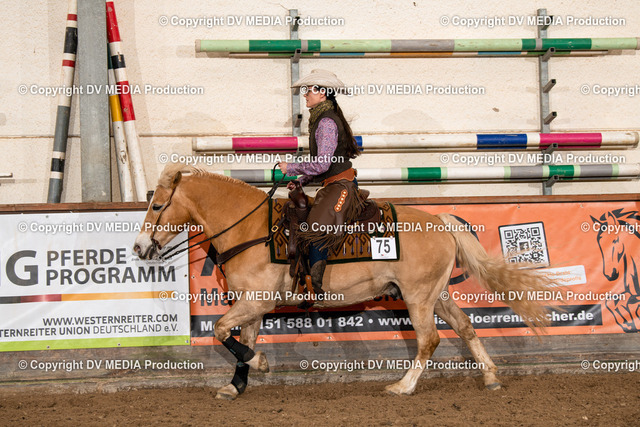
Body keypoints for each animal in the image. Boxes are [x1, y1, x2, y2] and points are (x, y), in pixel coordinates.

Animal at [134, 163, 554, 400]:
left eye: (157, 205)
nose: (139, 247)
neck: (252, 231)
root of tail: (439, 221)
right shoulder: (251, 306)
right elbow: (241, 340)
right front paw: (236, 385)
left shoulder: (257, 301)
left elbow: (222, 330)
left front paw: (262, 363)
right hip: (438, 294)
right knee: (466, 327)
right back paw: (491, 377)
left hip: (418, 298)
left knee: (428, 341)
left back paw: (403, 387)